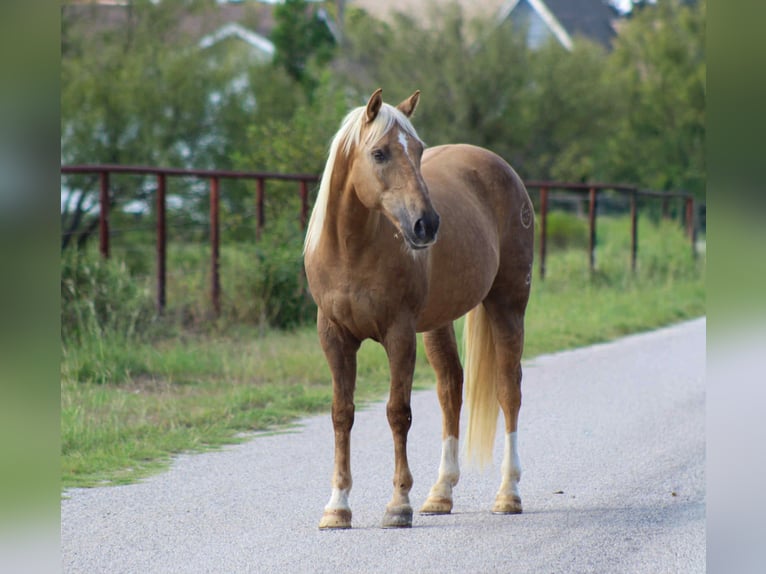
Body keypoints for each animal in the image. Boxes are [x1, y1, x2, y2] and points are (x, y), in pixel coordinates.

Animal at [303, 88, 534, 529]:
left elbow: (398, 412)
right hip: (438, 324)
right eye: (379, 153)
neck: (352, 251)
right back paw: (440, 493)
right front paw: (337, 506)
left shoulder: (399, 334)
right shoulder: (333, 337)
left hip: (508, 305)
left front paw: (398, 504)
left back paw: (509, 493)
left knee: (508, 389)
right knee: (451, 388)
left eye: (419, 150)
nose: (426, 224)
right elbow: (342, 414)